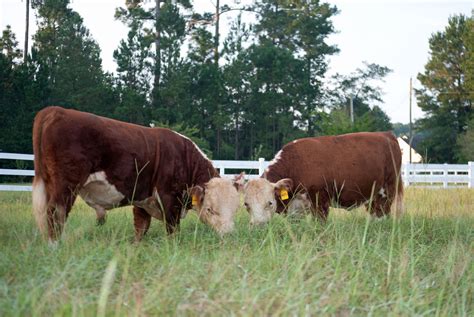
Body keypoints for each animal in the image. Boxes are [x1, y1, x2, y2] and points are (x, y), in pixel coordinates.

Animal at [33, 105, 241, 241]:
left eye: (234, 209)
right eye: (210, 209)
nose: (228, 234)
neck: (185, 157)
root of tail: (54, 110)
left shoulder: (142, 199)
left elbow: (141, 227)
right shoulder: (169, 198)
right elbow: (172, 230)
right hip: (65, 186)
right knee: (55, 214)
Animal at [244, 132, 404, 223]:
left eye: (270, 202)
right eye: (246, 204)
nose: (258, 225)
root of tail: (386, 134)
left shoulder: (320, 200)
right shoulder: (295, 208)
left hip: (386, 192)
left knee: (382, 214)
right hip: (370, 196)